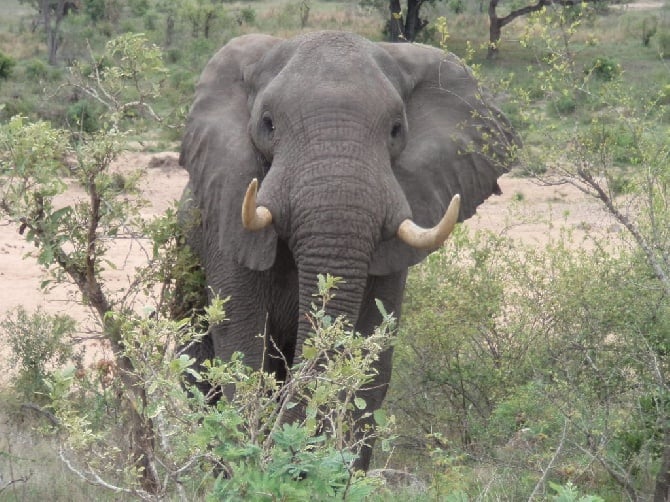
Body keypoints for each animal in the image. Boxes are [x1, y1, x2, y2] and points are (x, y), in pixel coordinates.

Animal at [177, 30, 520, 470]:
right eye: (268, 124)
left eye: (396, 130)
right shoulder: (225, 213)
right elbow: (243, 345)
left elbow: (371, 364)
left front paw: (341, 473)